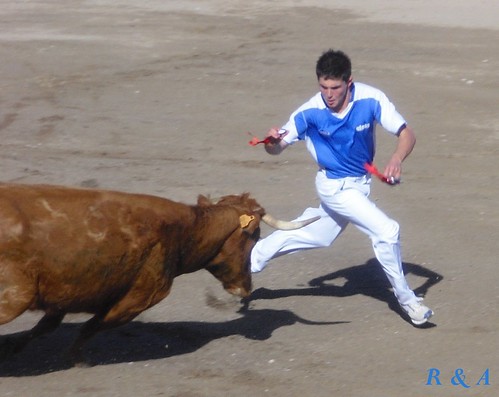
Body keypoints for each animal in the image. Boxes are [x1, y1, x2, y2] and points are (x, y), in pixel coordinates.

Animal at [0, 183, 318, 366]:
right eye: (253, 235)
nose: (246, 288)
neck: (185, 230)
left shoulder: (65, 296)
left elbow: (46, 327)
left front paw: (13, 348)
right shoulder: (140, 297)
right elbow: (91, 326)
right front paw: (76, 358)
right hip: (14, 297)